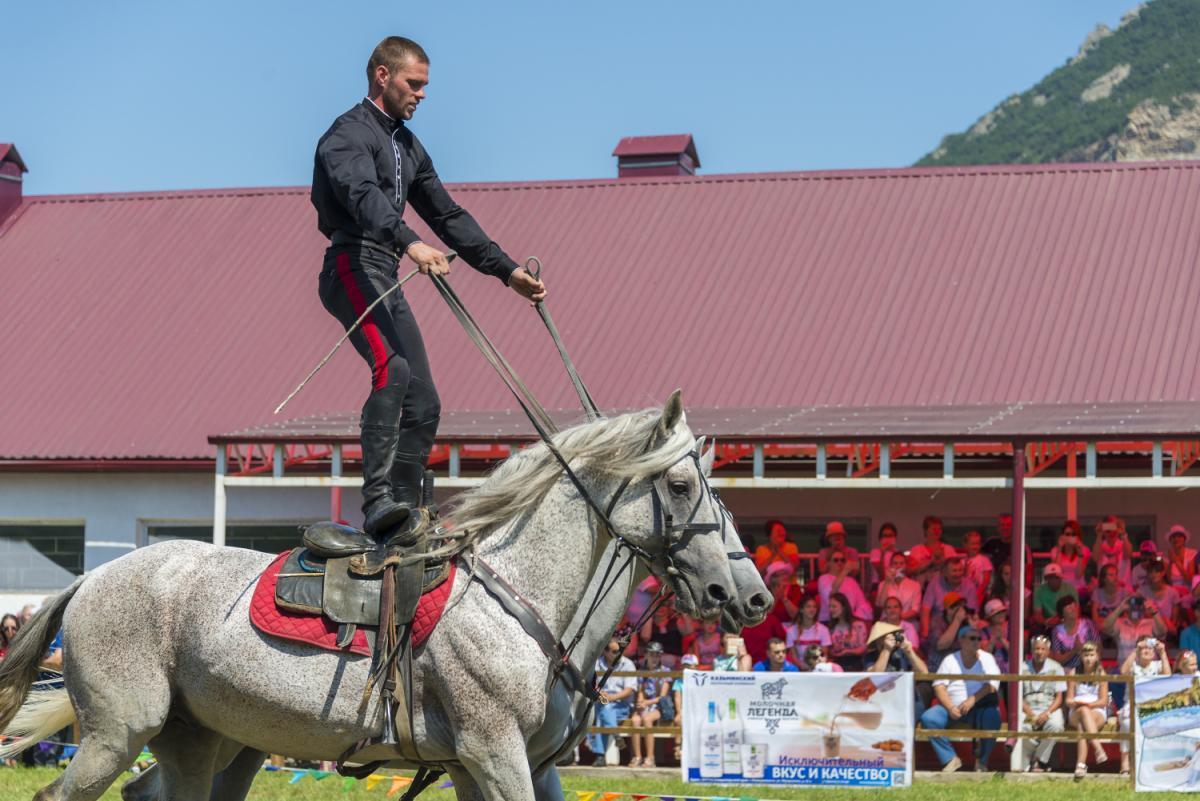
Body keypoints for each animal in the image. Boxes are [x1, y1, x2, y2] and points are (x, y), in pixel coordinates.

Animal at [0, 393, 739, 801]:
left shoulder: (500, 763)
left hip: (209, 740)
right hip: (119, 731)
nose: (734, 593)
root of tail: (92, 579)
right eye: (679, 486)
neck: (516, 595)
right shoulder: (495, 752)